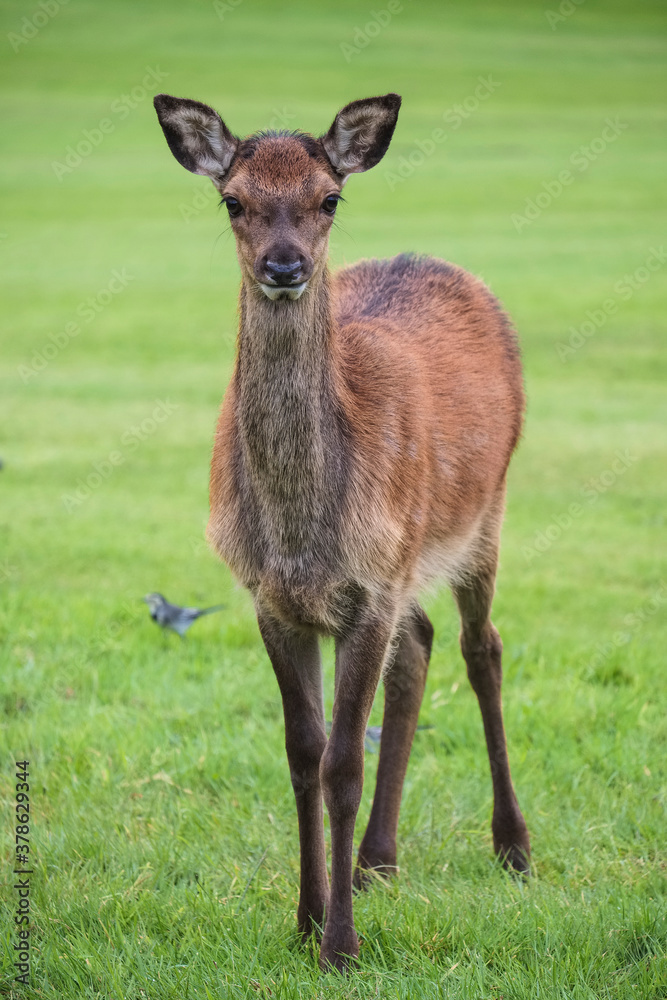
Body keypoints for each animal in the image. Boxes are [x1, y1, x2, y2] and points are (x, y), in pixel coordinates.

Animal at [154, 91, 531, 972]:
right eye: (233, 200)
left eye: (329, 197)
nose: (285, 266)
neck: (303, 535)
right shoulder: (275, 598)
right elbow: (302, 754)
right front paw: (303, 918)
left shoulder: (368, 592)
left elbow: (341, 765)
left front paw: (340, 947)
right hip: (412, 560)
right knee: (419, 645)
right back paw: (374, 863)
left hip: (484, 514)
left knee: (482, 648)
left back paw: (512, 845)